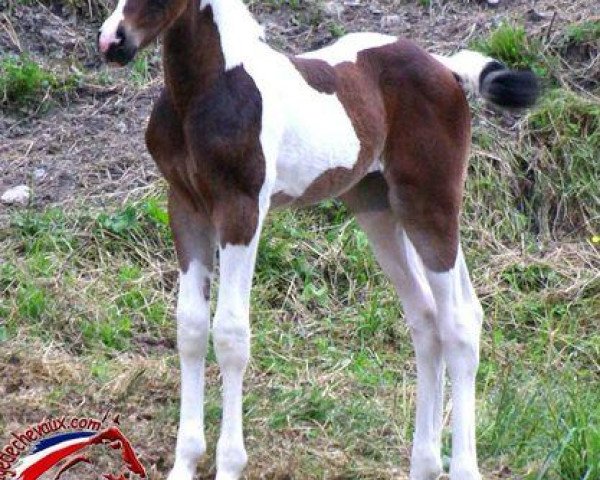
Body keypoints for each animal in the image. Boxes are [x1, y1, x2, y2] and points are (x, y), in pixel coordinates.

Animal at [98, 1, 540, 478]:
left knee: (457, 321)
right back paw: (423, 464)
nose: (112, 42)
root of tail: (445, 68)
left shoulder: (241, 208)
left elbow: (231, 334)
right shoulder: (185, 207)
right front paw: (184, 463)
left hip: (431, 202)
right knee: (428, 317)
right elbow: (192, 327)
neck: (205, 88)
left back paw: (460, 467)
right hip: (379, 208)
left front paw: (230, 464)